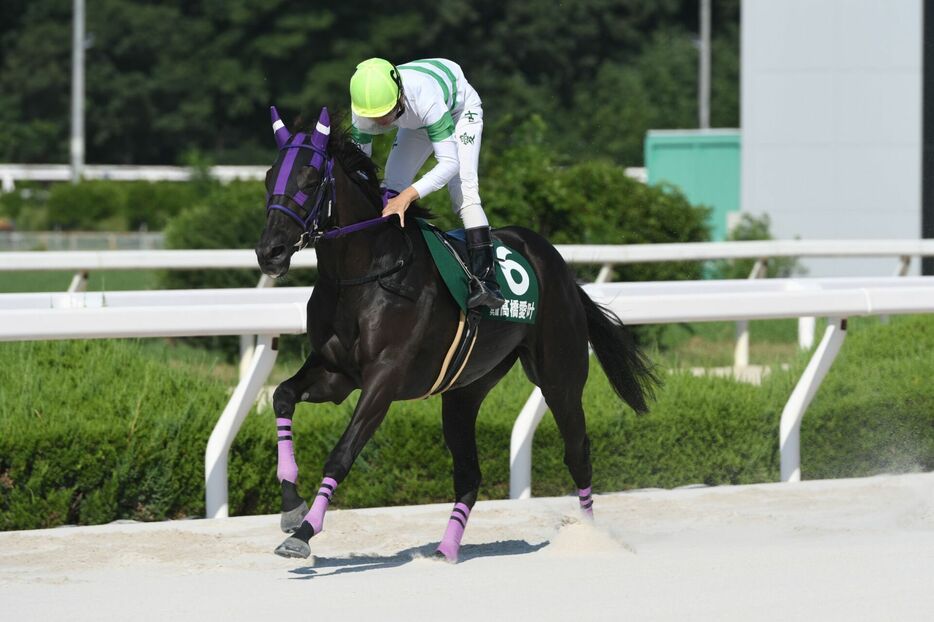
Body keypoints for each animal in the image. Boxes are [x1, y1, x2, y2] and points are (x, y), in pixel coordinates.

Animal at [252, 108, 656, 564]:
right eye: (269, 177)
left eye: (308, 179)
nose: (269, 252)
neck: (366, 274)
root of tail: (559, 265)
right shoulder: (336, 373)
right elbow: (282, 395)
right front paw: (291, 507)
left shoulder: (384, 379)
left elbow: (342, 453)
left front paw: (304, 532)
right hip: (466, 389)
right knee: (468, 474)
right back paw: (446, 549)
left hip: (560, 378)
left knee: (578, 454)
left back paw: (589, 537)